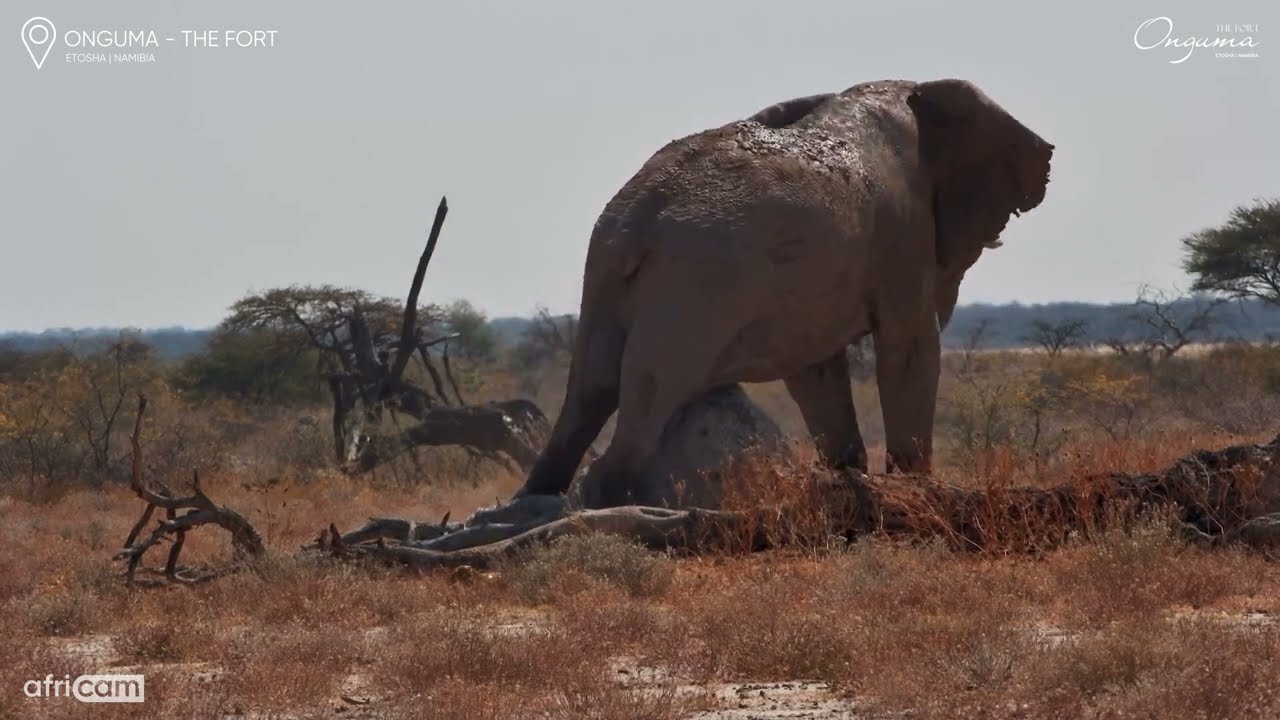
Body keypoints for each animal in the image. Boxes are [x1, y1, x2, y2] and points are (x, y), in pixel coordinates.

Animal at [518, 78, 1053, 506]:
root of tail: (636, 219)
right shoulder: (902, 235)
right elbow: (909, 348)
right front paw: (914, 488)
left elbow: (815, 369)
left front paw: (849, 477)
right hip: (695, 288)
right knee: (651, 389)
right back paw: (607, 500)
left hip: (607, 279)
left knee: (591, 387)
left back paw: (539, 497)